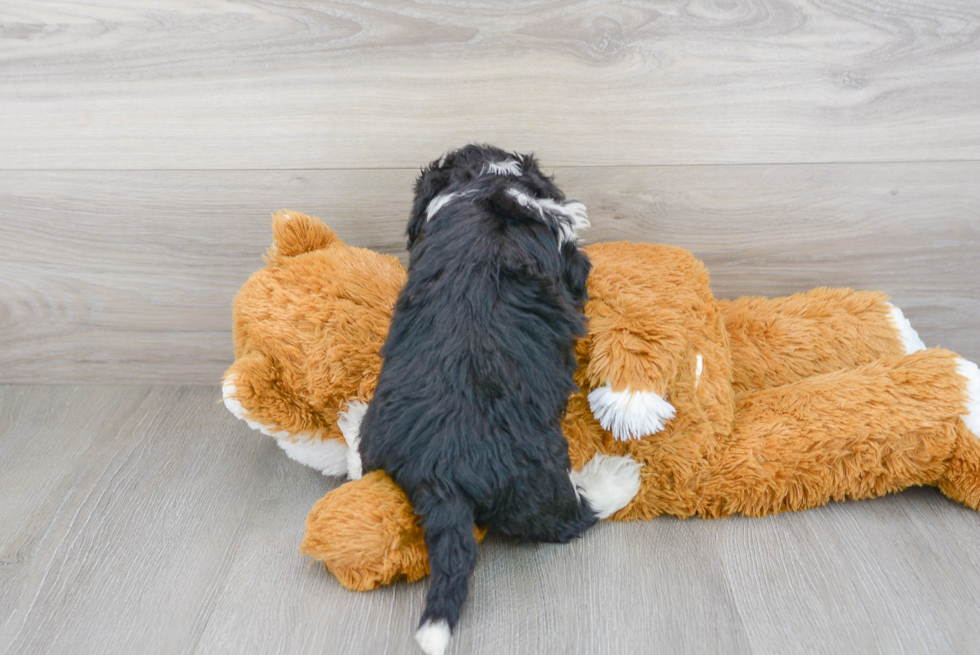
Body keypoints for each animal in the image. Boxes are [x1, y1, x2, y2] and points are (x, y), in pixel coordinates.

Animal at [356, 145, 640, 655]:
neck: (481, 184)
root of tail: (439, 472)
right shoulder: (565, 254)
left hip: (380, 438)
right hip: (538, 476)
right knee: (568, 517)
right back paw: (616, 479)